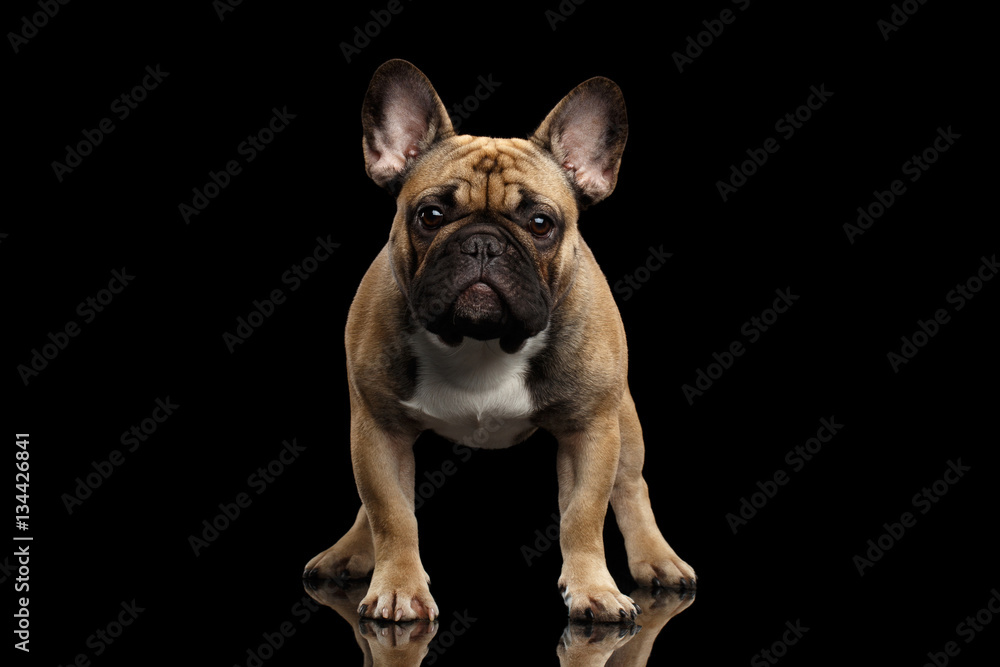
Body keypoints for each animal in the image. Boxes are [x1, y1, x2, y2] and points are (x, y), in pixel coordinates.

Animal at [304, 60, 696, 624]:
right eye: (430, 216)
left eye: (541, 223)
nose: (483, 243)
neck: (482, 342)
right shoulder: (377, 427)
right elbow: (391, 512)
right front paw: (398, 587)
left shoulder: (590, 431)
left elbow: (583, 514)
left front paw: (593, 589)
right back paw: (351, 551)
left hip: (623, 415)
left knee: (630, 484)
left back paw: (656, 559)